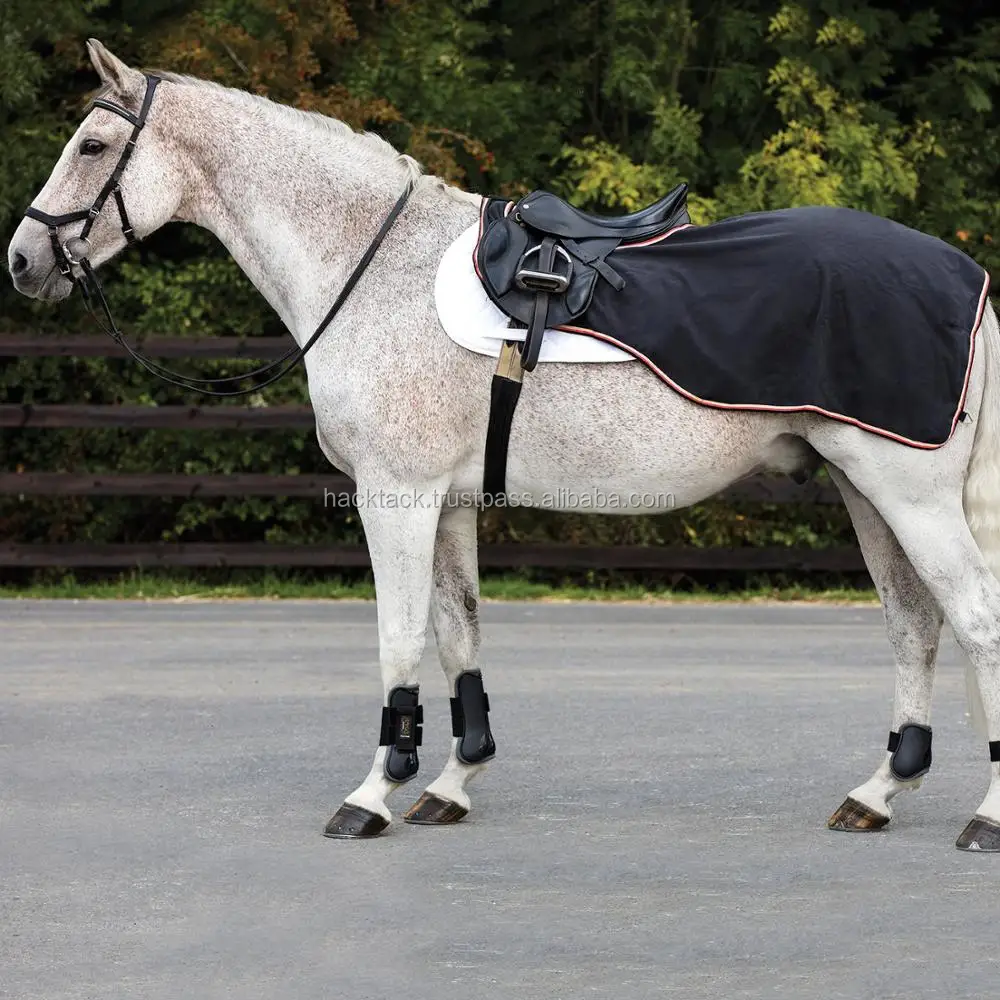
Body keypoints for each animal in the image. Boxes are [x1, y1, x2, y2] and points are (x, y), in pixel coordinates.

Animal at [8, 39, 1000, 851]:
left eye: (91, 147)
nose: (22, 260)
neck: (379, 268)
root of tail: (966, 278)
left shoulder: (396, 496)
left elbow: (400, 638)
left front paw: (371, 795)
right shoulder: (444, 503)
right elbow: (459, 635)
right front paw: (452, 781)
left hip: (907, 495)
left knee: (975, 620)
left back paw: (982, 819)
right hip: (866, 490)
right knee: (914, 626)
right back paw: (876, 794)